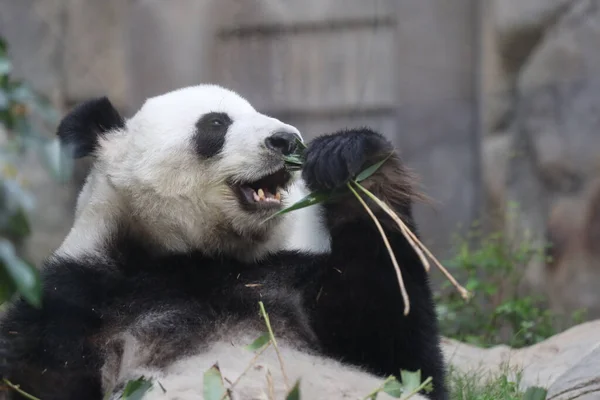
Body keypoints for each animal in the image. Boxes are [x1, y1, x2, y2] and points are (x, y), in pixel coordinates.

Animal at [0, 84, 446, 400]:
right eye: (216, 124)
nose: (287, 140)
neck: (196, 254)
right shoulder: (75, 299)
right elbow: (35, 379)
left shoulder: (287, 278)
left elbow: (398, 353)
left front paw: (353, 164)